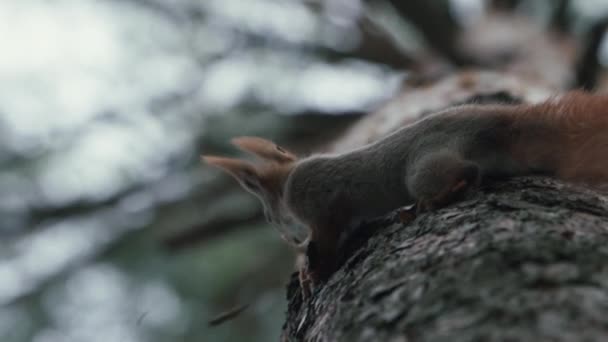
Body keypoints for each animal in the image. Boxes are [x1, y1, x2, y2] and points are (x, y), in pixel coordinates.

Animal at [203, 91, 608, 296]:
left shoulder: (321, 204)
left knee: (467, 173)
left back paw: (431, 201)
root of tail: (499, 124)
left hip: (424, 168)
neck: (288, 180)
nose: (289, 239)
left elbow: (330, 238)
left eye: (268, 215)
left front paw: (315, 273)